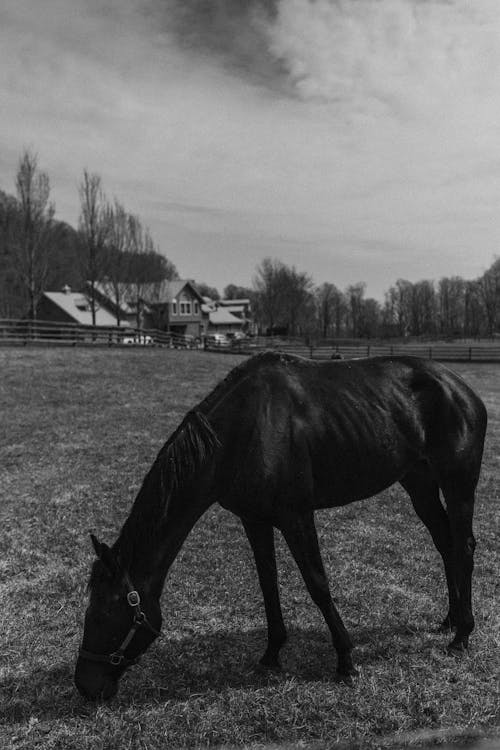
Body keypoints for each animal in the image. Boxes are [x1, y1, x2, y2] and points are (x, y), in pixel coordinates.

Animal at [73, 356, 484, 704]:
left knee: (463, 546)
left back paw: (462, 634)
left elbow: (317, 584)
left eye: (103, 614)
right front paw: (272, 653)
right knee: (445, 544)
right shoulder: (254, 520)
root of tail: (461, 388)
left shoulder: (296, 516)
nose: (85, 686)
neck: (242, 432)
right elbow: (267, 584)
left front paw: (346, 660)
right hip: (419, 482)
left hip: (458, 483)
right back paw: (449, 619)